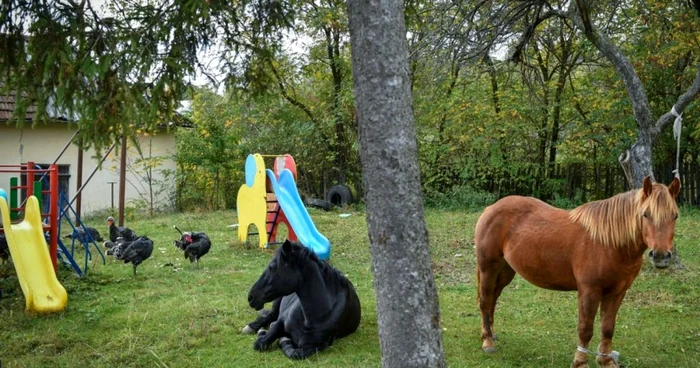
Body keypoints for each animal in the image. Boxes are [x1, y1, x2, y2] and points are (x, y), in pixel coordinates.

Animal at [476, 177, 680, 366]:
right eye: (645, 214)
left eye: (675, 216)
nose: (661, 255)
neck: (608, 243)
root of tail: (491, 208)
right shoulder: (589, 291)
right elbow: (585, 328)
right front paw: (580, 362)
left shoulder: (617, 293)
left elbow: (607, 328)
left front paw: (606, 361)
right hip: (488, 268)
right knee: (485, 300)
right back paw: (487, 342)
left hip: (505, 272)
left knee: (493, 298)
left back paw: (492, 334)